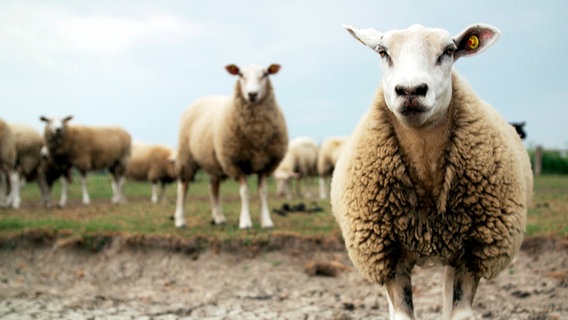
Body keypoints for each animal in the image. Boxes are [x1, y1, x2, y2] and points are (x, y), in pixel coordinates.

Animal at [173, 63, 288, 229]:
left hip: (214, 161)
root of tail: (204, 98)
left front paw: (266, 221)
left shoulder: (266, 165)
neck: (257, 134)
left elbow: (263, 192)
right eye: (240, 74)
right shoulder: (236, 163)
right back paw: (180, 219)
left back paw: (219, 218)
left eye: (265, 74)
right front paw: (245, 222)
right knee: (183, 187)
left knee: (213, 187)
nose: (252, 94)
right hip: (186, 156)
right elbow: (244, 192)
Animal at [330, 23, 536, 320]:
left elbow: (460, 312)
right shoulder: (388, 256)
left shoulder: (472, 253)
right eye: (382, 52)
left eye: (448, 51)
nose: (410, 90)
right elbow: (402, 313)